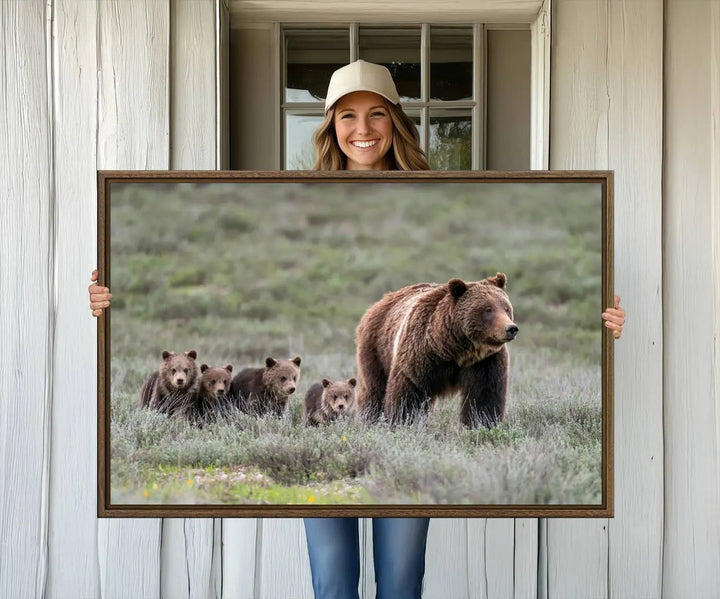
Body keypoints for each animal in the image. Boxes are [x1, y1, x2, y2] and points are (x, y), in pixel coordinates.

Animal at [356, 274, 516, 428]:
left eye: (506, 308)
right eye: (488, 309)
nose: (511, 328)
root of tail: (379, 302)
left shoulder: (485, 361)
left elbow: (484, 396)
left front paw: (482, 424)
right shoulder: (420, 355)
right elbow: (408, 393)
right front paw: (402, 422)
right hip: (377, 348)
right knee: (374, 388)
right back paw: (370, 418)